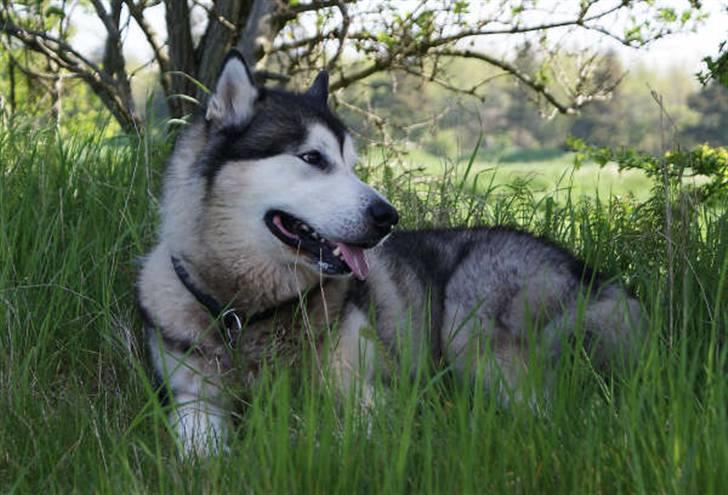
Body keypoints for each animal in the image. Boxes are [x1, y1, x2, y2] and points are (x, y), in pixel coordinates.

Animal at [138, 50, 644, 458]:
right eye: (313, 158)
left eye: (352, 163)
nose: (388, 216)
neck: (251, 310)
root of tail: (597, 279)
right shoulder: (194, 404)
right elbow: (198, 454)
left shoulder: (369, 398)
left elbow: (321, 435)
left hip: (472, 328)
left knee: (550, 414)